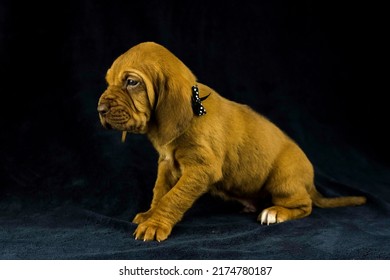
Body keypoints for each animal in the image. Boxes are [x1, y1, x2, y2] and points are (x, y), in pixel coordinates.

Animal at [96, 41, 366, 241]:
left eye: (132, 82)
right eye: (108, 82)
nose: (99, 109)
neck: (194, 106)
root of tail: (310, 183)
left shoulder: (202, 169)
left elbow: (174, 197)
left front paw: (156, 224)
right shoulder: (167, 163)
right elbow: (160, 191)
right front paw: (150, 214)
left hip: (283, 180)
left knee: (305, 206)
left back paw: (275, 212)